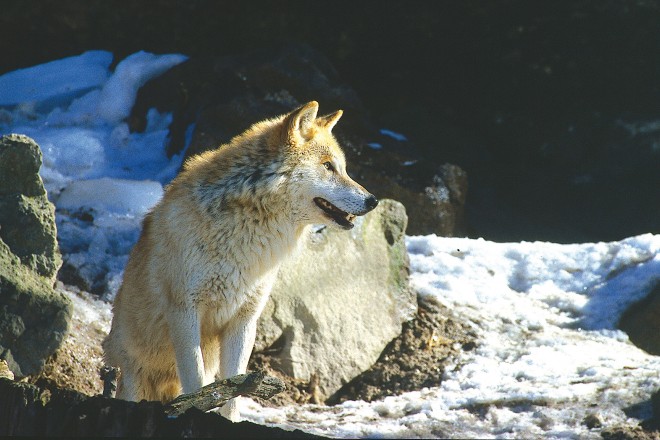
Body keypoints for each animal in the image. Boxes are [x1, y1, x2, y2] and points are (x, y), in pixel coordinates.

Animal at [104, 100, 376, 420]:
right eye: (328, 166)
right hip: (132, 376)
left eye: (342, 168)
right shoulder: (184, 312)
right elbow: (197, 381)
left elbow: (233, 389)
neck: (246, 234)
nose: (373, 200)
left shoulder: (244, 320)